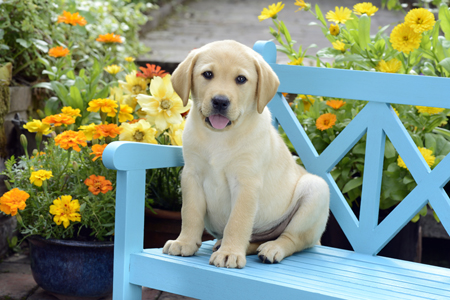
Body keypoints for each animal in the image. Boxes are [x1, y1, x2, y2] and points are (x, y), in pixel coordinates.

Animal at [163, 40, 330, 270]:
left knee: (292, 238)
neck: (219, 137)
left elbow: (237, 221)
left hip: (316, 191)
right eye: (207, 74)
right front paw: (185, 242)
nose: (220, 101)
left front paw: (229, 253)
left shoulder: (246, 182)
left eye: (241, 79)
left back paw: (271, 249)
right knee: (254, 237)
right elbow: (190, 213)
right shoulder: (191, 175)